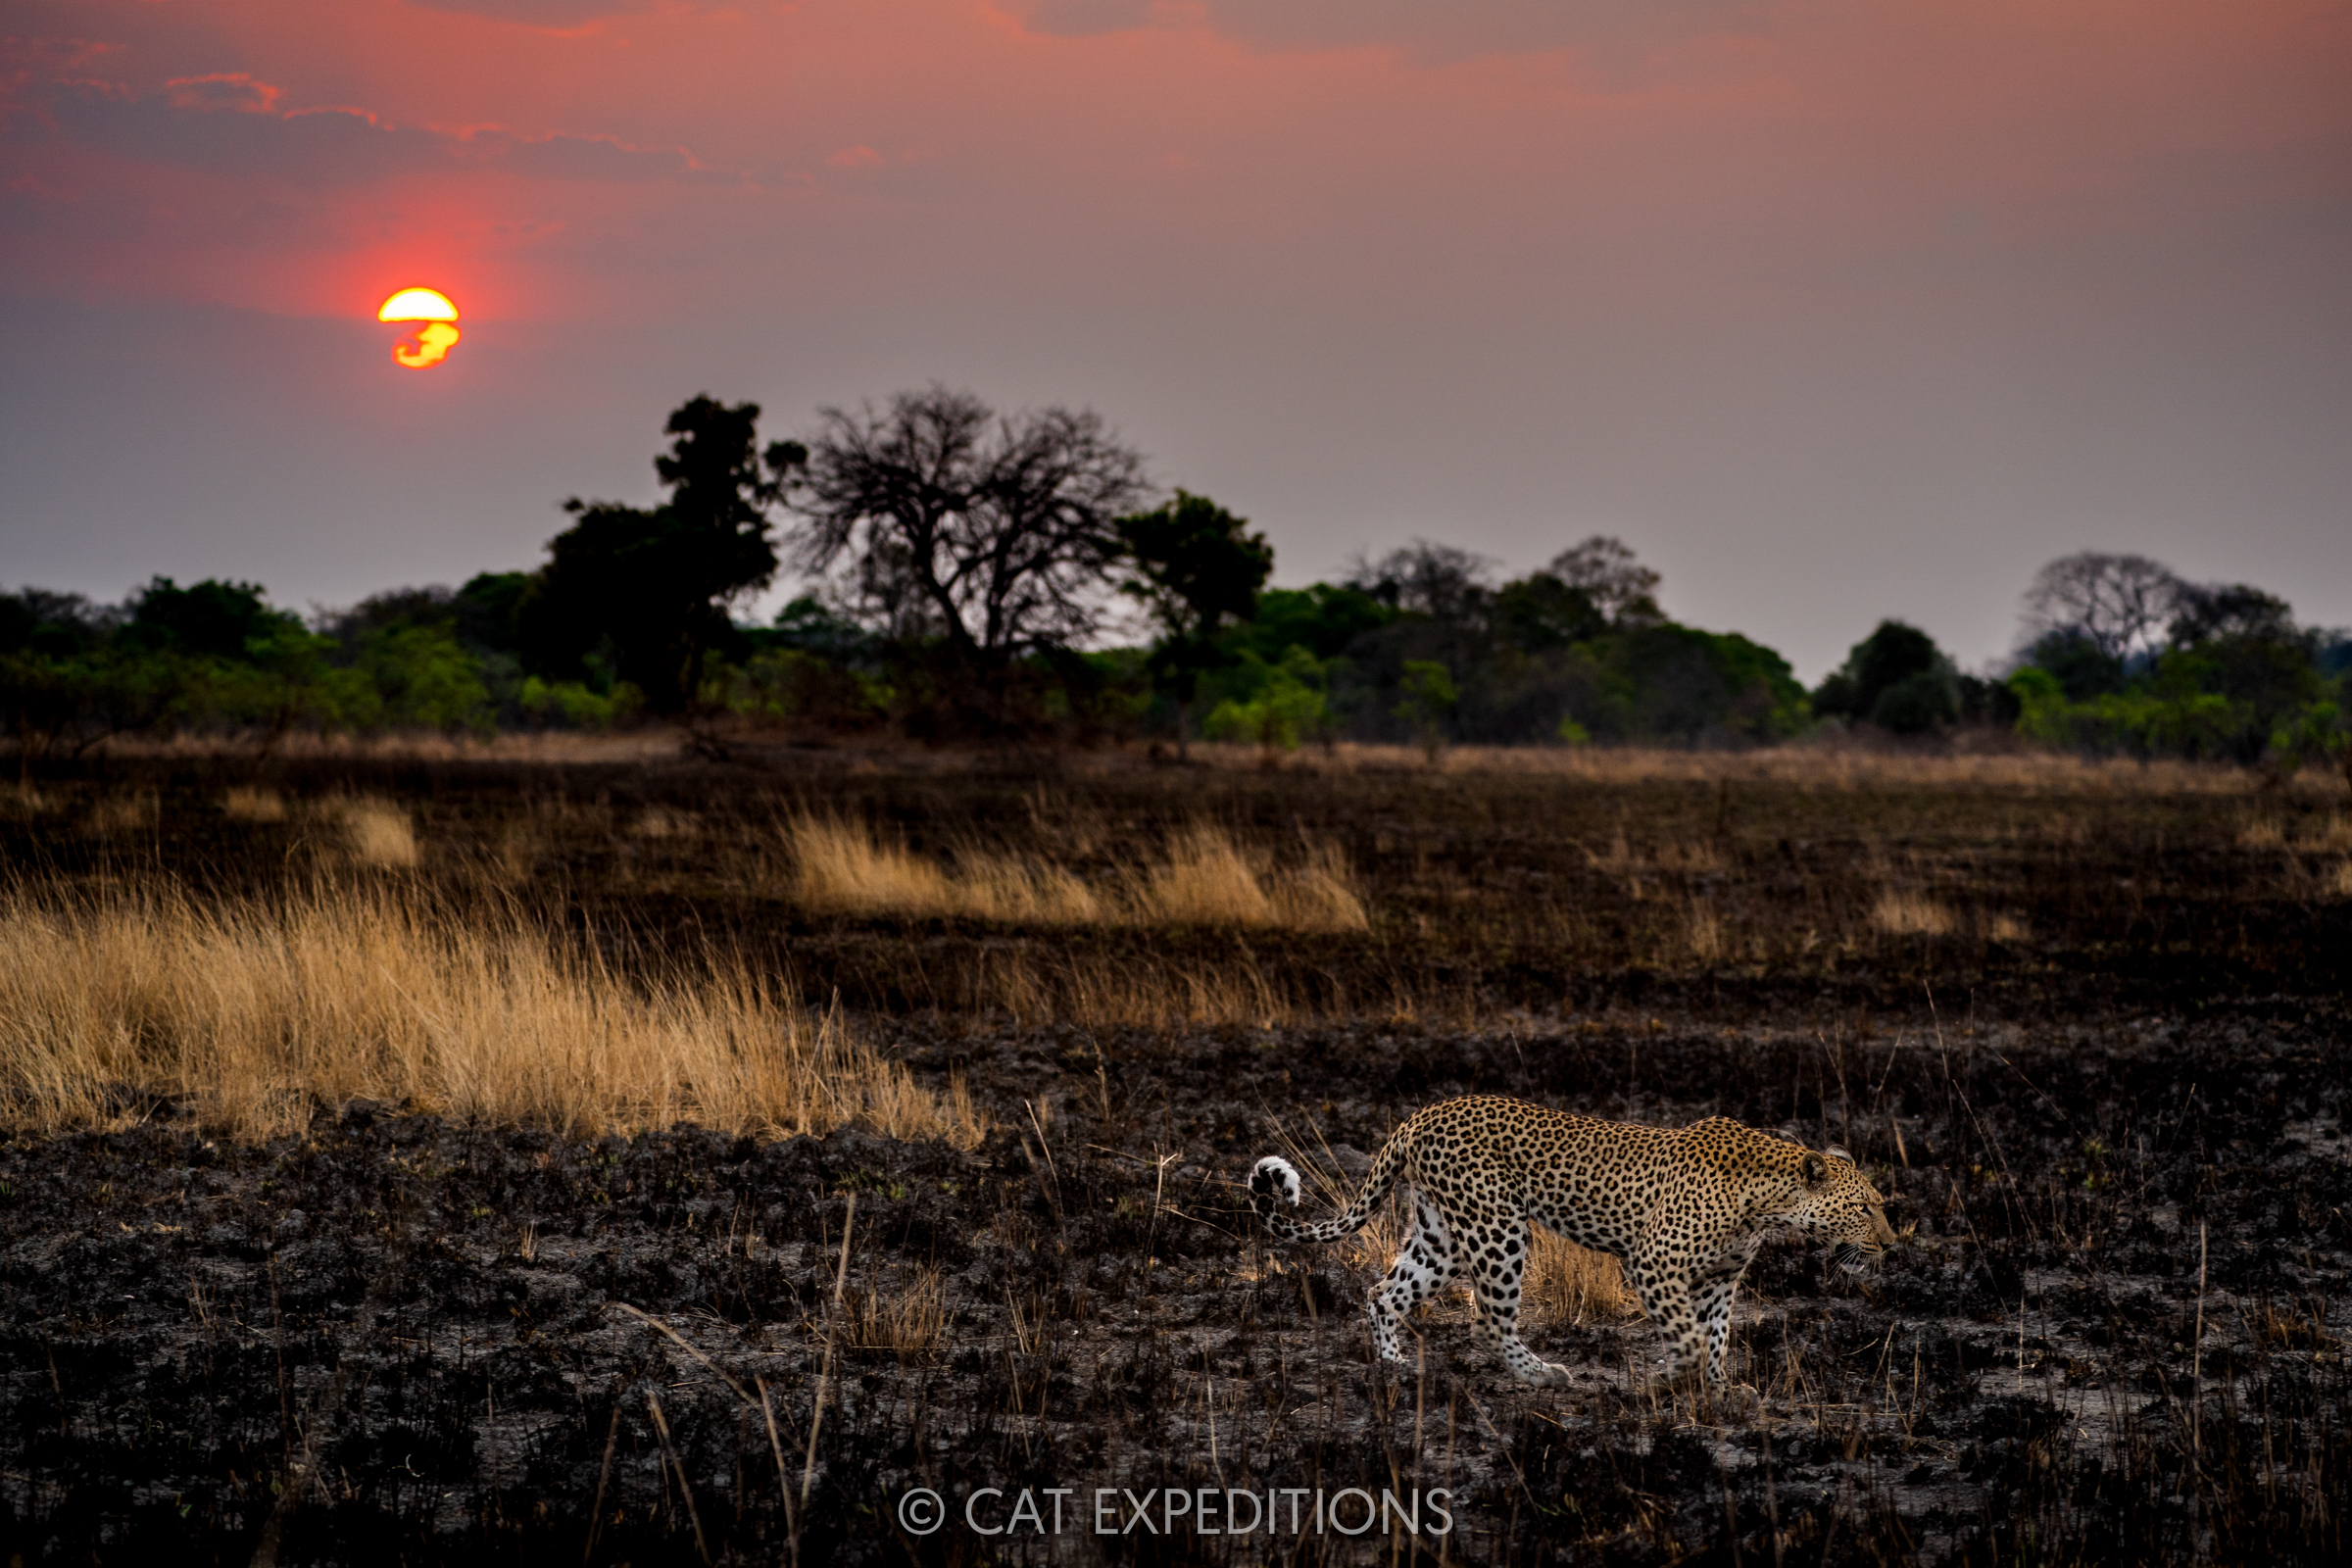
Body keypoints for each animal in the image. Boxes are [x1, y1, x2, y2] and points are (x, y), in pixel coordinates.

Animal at [1248, 1094, 1895, 1391]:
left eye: (1881, 1206)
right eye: (1864, 1207)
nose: (1891, 1245)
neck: (1770, 1202)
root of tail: (1420, 1115)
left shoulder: (1719, 1279)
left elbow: (1714, 1336)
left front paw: (1718, 1389)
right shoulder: (1653, 1263)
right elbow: (1687, 1334)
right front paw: (1673, 1376)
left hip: (1441, 1238)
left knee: (1385, 1292)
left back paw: (1396, 1368)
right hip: (1497, 1229)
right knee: (1488, 1317)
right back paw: (1540, 1374)